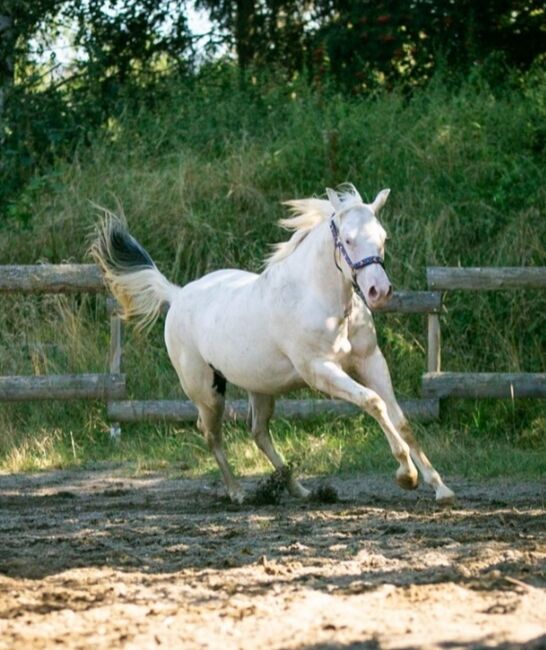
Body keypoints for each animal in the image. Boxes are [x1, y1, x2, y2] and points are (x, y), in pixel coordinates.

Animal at [91, 185, 452, 504]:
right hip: (206, 391)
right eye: (348, 240)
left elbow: (400, 418)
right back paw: (238, 493)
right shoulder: (320, 371)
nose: (379, 291)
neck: (319, 299)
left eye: (383, 238)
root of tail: (177, 295)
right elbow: (374, 403)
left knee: (258, 432)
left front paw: (440, 488)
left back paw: (299, 489)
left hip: (261, 387)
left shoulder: (370, 361)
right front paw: (407, 475)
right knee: (211, 433)